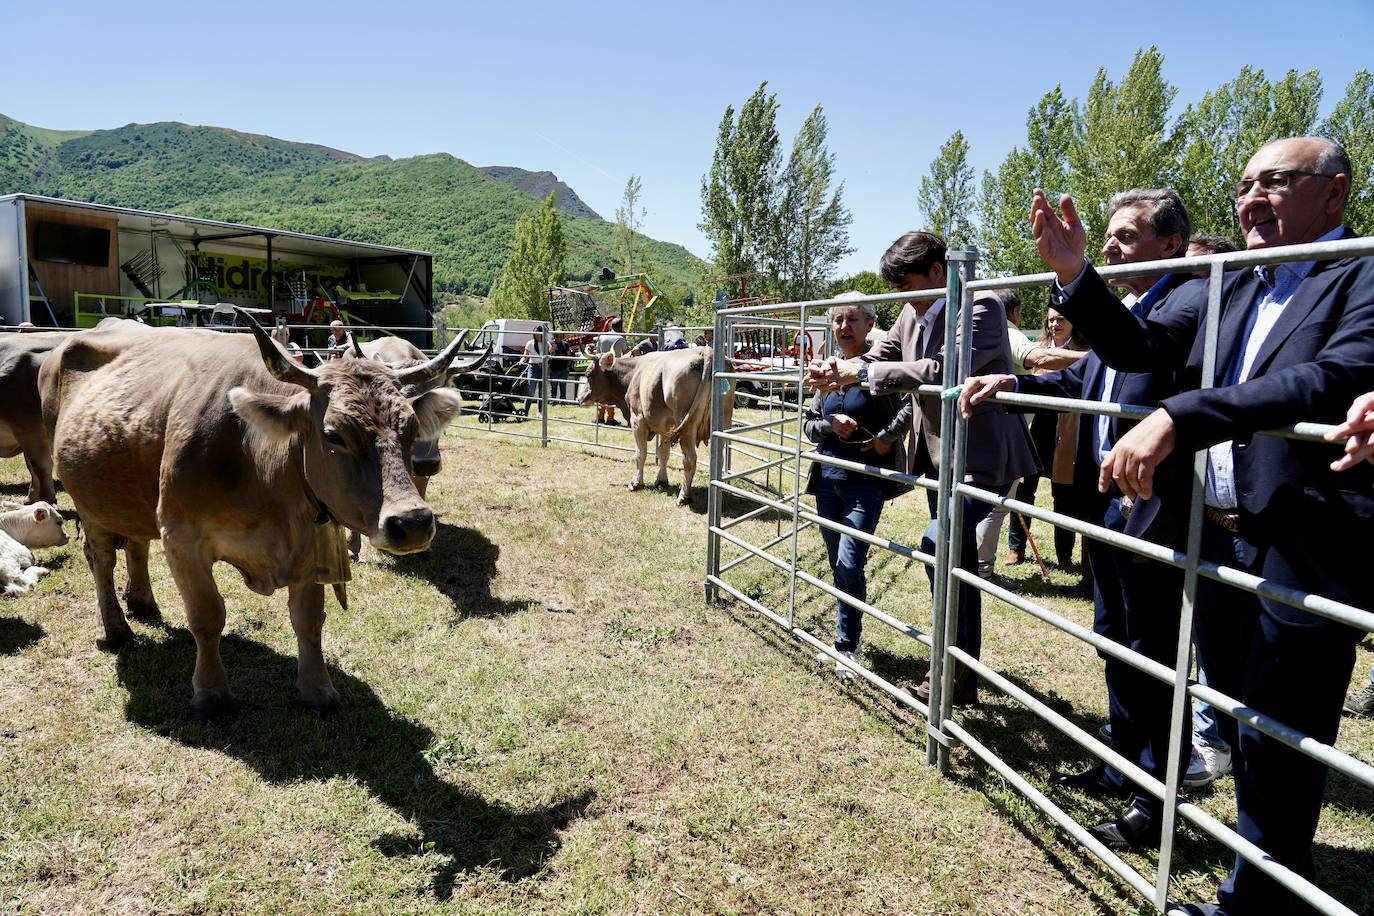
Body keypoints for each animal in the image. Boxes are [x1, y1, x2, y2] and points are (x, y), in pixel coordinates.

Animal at [40, 311, 489, 719]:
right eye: (334, 435)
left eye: (411, 428)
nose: (412, 523)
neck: (257, 460)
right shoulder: (181, 537)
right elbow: (207, 616)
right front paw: (211, 693)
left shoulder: (310, 543)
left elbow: (309, 620)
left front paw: (317, 689)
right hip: (89, 502)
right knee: (101, 558)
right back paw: (116, 628)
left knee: (135, 544)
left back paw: (143, 602)